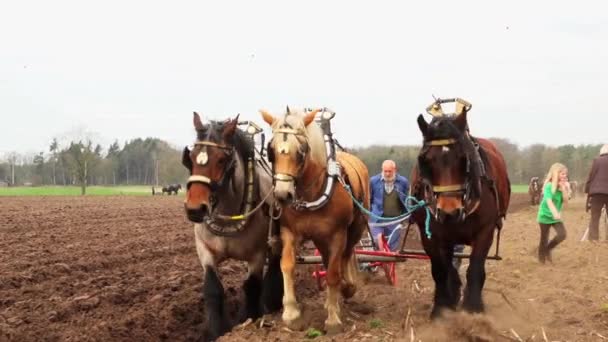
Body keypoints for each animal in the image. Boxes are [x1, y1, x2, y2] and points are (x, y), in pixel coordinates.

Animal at [182, 113, 284, 342]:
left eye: (221, 159)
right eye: (190, 157)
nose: (195, 209)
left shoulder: (257, 254)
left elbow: (252, 287)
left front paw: (249, 319)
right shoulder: (205, 251)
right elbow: (212, 288)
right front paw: (218, 329)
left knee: (275, 266)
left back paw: (273, 303)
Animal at [258, 107, 368, 334]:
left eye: (301, 151)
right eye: (271, 151)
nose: (282, 195)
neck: (312, 192)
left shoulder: (338, 234)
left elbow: (334, 273)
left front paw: (333, 319)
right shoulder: (290, 232)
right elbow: (287, 265)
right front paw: (291, 313)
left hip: (355, 228)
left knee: (345, 256)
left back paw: (347, 288)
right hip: (320, 237)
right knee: (329, 260)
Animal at [410, 108, 510, 320]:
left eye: (464, 159)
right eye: (425, 160)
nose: (450, 212)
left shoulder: (485, 231)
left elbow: (475, 268)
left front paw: (473, 308)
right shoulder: (430, 236)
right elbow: (440, 270)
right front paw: (441, 307)